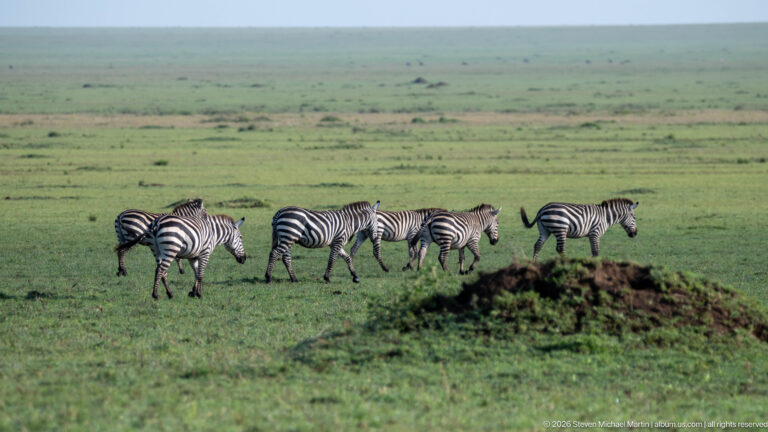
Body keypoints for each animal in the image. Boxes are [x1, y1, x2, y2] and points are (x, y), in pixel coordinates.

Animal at [115, 210, 246, 299]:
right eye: (240, 237)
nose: (244, 259)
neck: (213, 233)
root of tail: (156, 224)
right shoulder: (205, 253)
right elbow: (200, 274)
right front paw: (199, 294)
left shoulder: (193, 256)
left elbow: (196, 273)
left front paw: (193, 292)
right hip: (170, 249)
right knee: (160, 270)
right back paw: (155, 294)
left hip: (156, 249)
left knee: (161, 270)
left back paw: (169, 293)